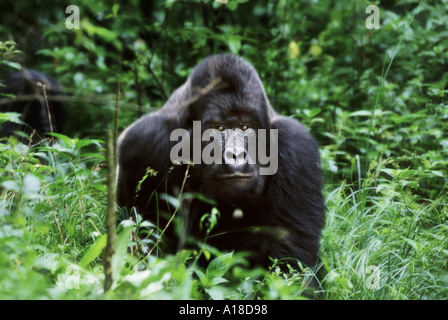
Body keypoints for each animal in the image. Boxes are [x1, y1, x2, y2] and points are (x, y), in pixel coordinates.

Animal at [117, 55, 324, 270]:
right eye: (220, 128)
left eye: (245, 127)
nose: (236, 155)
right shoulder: (144, 141)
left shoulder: (296, 146)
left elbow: (289, 251)